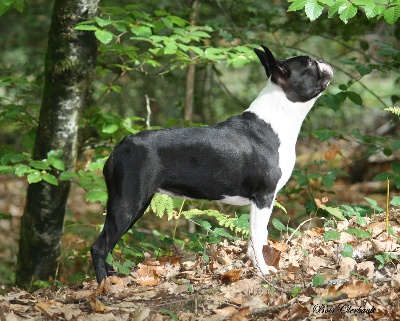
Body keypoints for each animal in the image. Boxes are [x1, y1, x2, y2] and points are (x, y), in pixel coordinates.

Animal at [91, 45, 334, 282]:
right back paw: (104, 286)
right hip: (128, 204)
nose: (324, 61)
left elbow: (255, 237)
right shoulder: (264, 196)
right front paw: (264, 272)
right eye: (310, 63)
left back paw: (112, 278)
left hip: (134, 204)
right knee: (99, 247)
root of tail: (119, 147)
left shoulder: (261, 201)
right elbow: (259, 236)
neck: (277, 117)